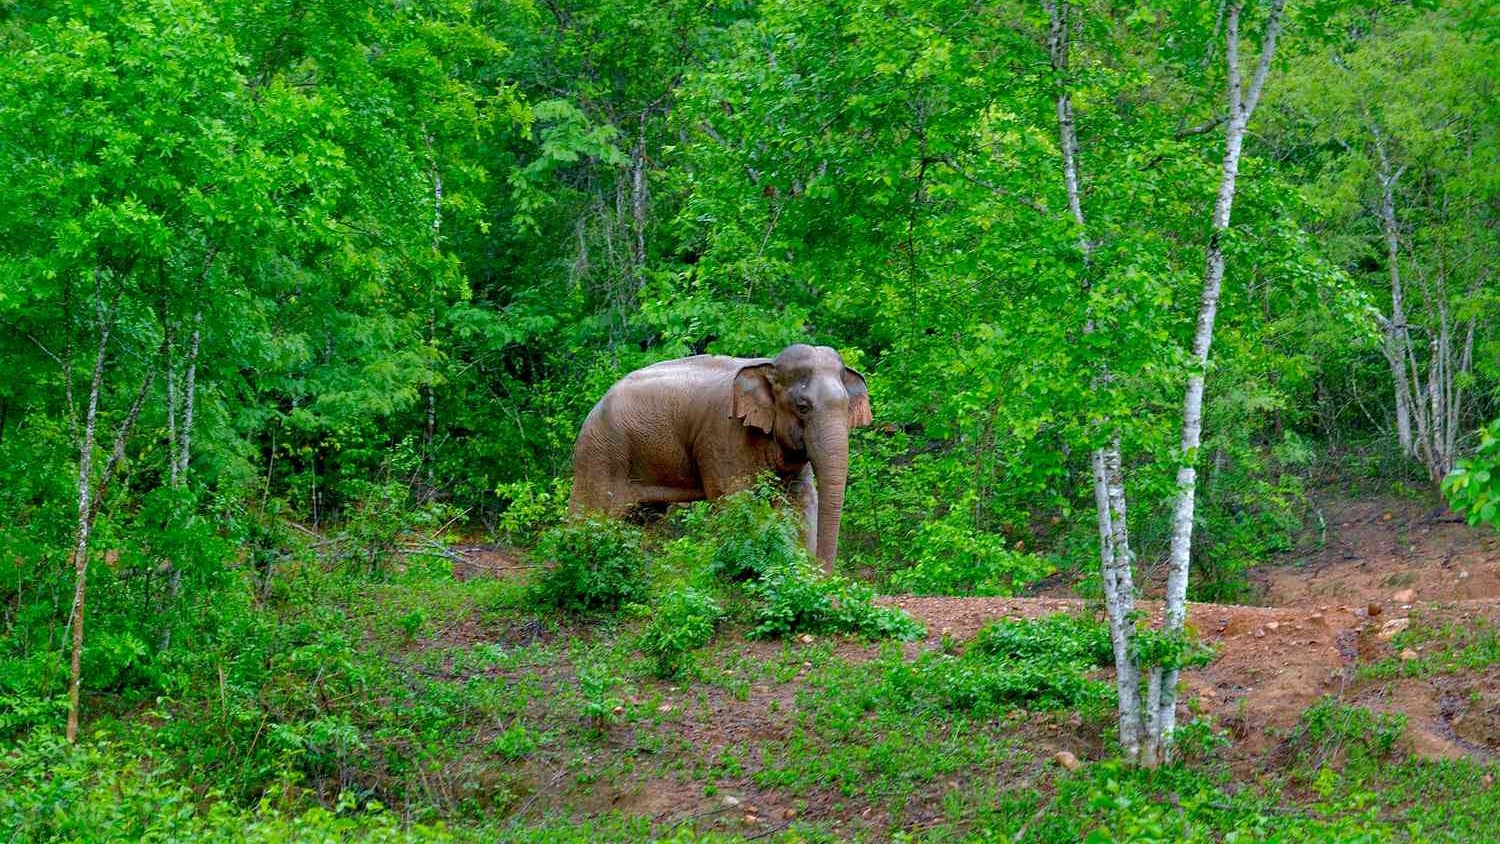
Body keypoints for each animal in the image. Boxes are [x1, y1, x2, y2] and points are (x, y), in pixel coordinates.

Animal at [569, 343, 872, 572]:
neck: (767, 365)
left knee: (644, 519)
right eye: (802, 407)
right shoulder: (723, 435)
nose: (824, 573)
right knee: (590, 515)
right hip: (601, 453)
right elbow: (733, 499)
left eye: (847, 406)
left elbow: (801, 499)